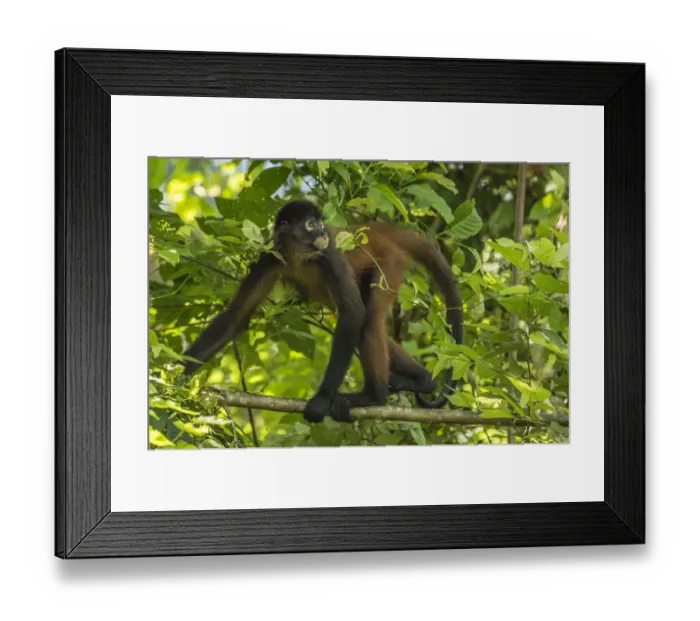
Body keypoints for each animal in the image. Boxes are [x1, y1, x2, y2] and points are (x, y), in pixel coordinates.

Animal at [182, 200, 463, 423]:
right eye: (309, 224)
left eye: (318, 222)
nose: (322, 231)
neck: (300, 255)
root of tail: (378, 230)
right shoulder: (270, 257)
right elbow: (237, 315)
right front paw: (177, 375)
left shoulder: (329, 254)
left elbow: (352, 312)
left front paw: (322, 398)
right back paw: (424, 380)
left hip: (389, 264)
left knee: (369, 318)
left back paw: (374, 396)